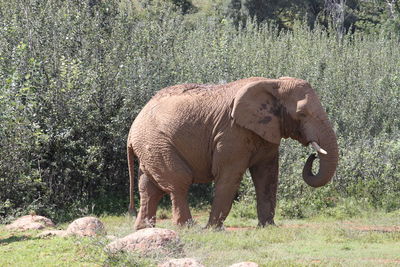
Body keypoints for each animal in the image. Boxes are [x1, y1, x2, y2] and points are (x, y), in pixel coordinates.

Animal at [127, 77, 338, 230]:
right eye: (302, 114)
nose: (313, 155)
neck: (273, 83)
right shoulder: (231, 132)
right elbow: (229, 176)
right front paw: (213, 230)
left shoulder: (267, 131)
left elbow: (267, 176)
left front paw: (268, 228)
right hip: (156, 142)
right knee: (179, 181)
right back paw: (188, 228)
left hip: (150, 146)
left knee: (148, 186)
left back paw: (143, 229)